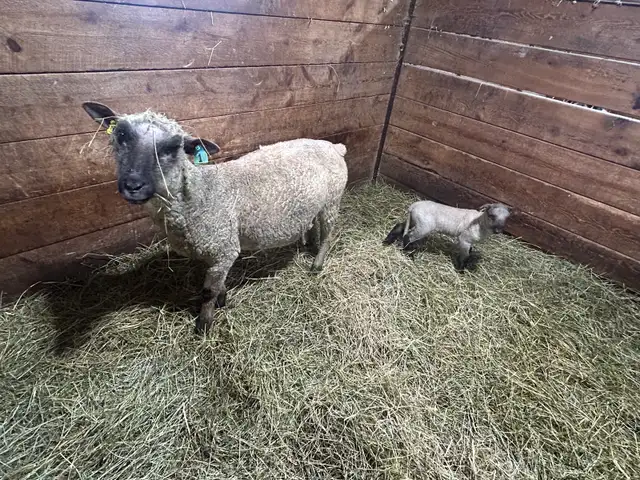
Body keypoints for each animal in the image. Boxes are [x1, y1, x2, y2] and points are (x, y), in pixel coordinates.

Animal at [82, 102, 348, 333]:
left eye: (172, 148)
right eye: (121, 134)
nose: (133, 185)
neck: (201, 194)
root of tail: (334, 146)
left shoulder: (224, 248)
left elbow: (208, 291)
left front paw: (204, 324)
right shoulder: (210, 250)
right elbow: (217, 285)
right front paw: (222, 299)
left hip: (332, 200)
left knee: (328, 233)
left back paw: (317, 264)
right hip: (315, 204)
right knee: (313, 225)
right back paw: (309, 246)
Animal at [383, 200, 511, 270]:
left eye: (506, 218)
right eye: (491, 215)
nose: (498, 230)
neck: (480, 222)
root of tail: (413, 206)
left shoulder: (470, 242)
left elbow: (469, 253)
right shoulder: (464, 239)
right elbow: (465, 256)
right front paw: (461, 270)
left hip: (415, 221)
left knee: (400, 226)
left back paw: (387, 241)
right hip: (424, 227)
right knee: (408, 237)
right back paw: (409, 255)